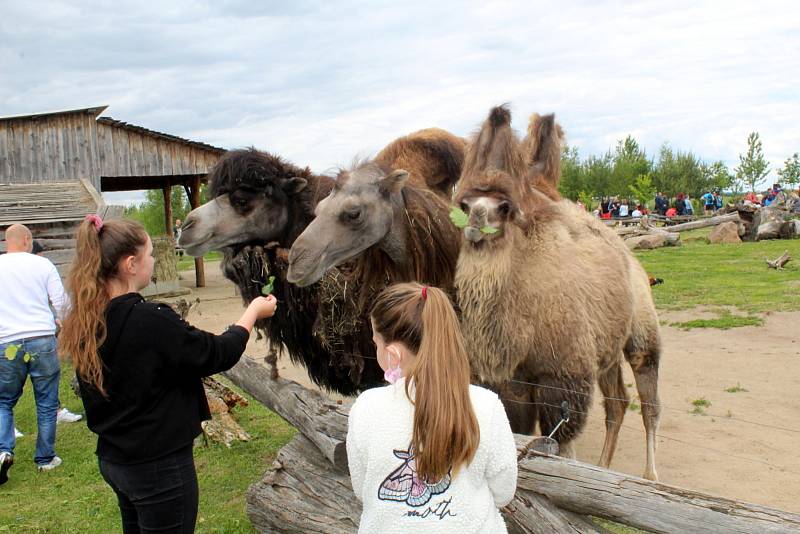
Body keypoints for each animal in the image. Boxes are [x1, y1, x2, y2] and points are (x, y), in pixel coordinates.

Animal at [454, 105, 660, 482]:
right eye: (464, 203)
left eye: (505, 207)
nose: (476, 223)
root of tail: (630, 258)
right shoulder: (513, 381)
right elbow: (518, 430)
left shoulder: (564, 375)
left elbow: (562, 445)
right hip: (606, 350)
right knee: (617, 403)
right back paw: (604, 466)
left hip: (642, 330)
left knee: (649, 399)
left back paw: (650, 477)